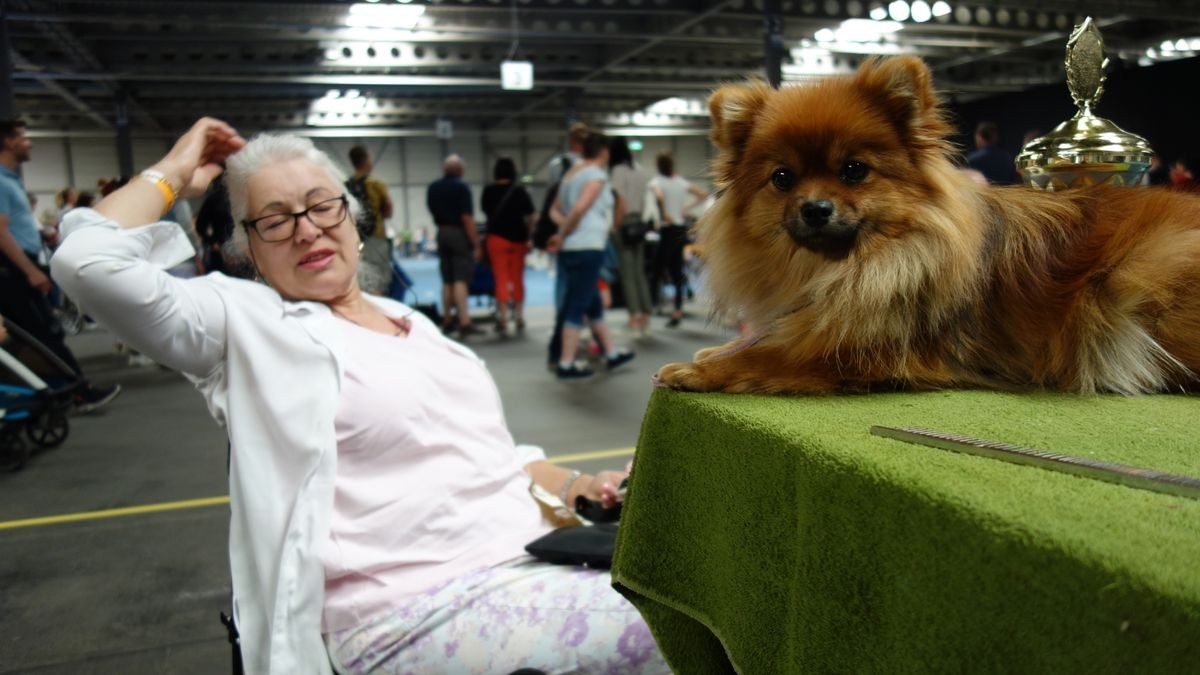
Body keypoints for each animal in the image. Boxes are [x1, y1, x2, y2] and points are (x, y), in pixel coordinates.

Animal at [662, 56, 1200, 393]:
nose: (815, 208)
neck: (854, 266)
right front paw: (718, 351)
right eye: (782, 179)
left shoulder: (867, 351)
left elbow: (778, 355)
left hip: (1139, 278)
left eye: (853, 170)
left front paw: (698, 368)